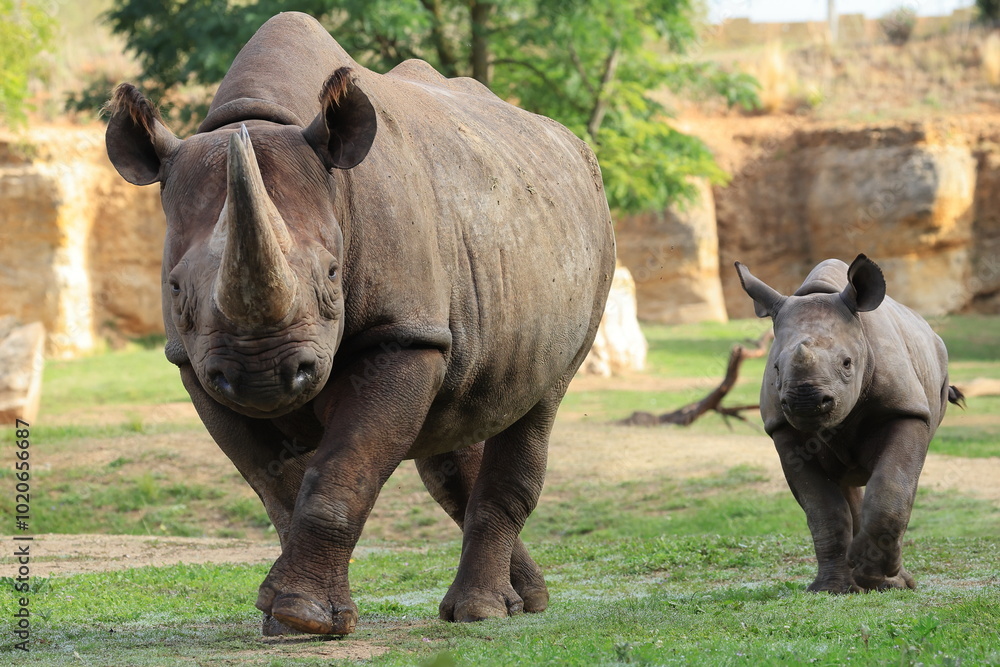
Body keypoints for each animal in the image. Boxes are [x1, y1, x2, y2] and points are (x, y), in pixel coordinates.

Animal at [105, 12, 614, 635]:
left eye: (331, 274)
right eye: (176, 289)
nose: (263, 375)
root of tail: (570, 144)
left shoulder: (402, 335)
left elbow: (341, 472)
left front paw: (301, 616)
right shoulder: (196, 364)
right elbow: (278, 484)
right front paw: (286, 616)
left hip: (588, 244)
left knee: (539, 399)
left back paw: (481, 612)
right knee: (456, 428)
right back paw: (523, 600)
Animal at [735, 255, 963, 593]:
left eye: (847, 363)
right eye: (775, 367)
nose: (805, 401)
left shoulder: (907, 410)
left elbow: (891, 486)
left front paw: (879, 577)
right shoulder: (783, 428)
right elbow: (824, 509)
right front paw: (831, 588)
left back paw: (892, 581)